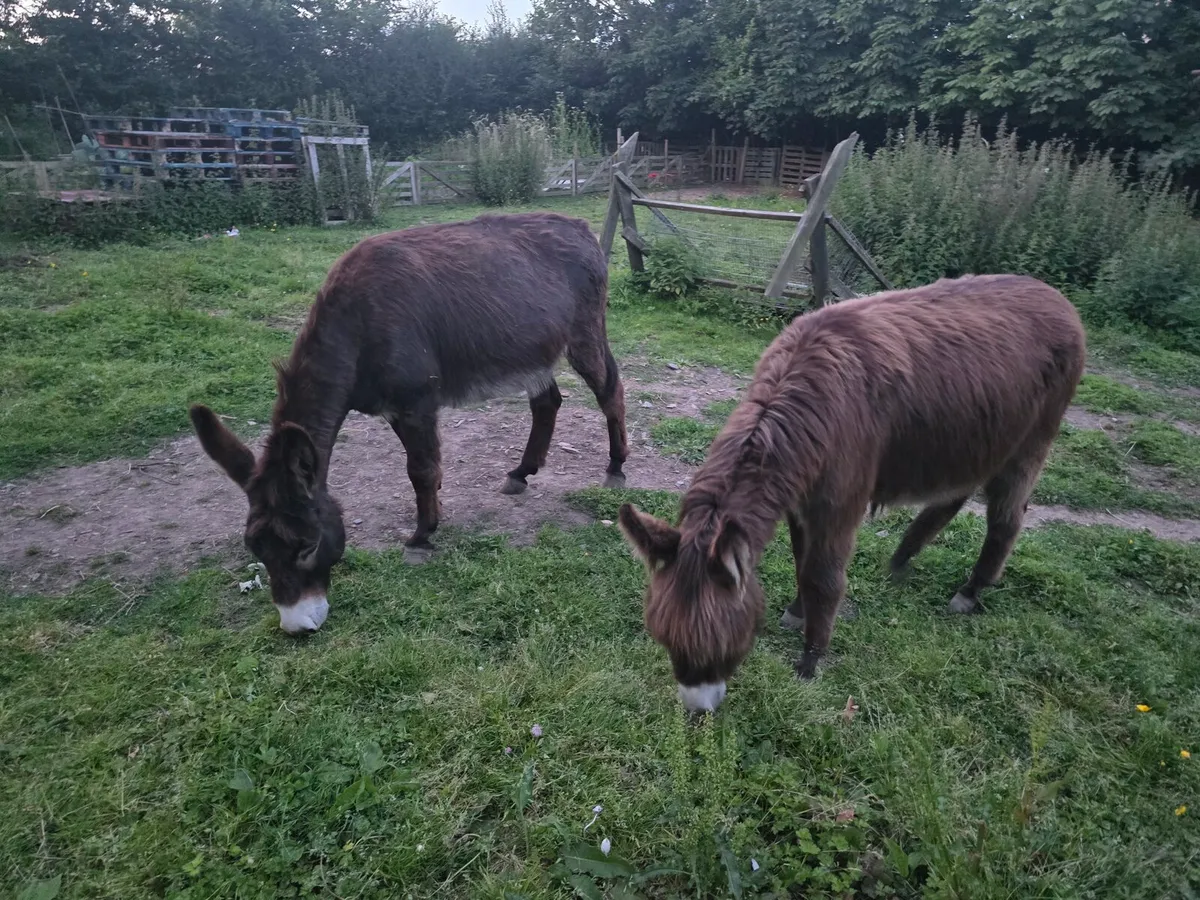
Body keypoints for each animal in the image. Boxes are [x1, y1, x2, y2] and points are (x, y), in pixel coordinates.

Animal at [191, 211, 629, 634]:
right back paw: (521, 473)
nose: (296, 627)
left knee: (611, 390)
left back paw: (616, 468)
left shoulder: (416, 401)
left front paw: (421, 538)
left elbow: (419, 470)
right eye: (257, 549)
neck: (356, 324)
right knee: (547, 402)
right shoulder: (395, 409)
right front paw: (433, 517)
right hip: (534, 351)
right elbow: (425, 469)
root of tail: (579, 227)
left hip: (583, 334)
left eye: (307, 547)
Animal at [618, 274, 1086, 713]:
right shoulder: (800, 500)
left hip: (1030, 441)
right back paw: (901, 560)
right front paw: (797, 612)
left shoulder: (839, 499)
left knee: (1006, 519)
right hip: (976, 440)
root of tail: (1055, 296)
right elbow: (801, 562)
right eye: (665, 640)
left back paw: (970, 592)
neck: (804, 400)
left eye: (718, 641)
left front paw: (810, 661)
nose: (698, 713)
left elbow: (822, 576)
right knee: (953, 497)